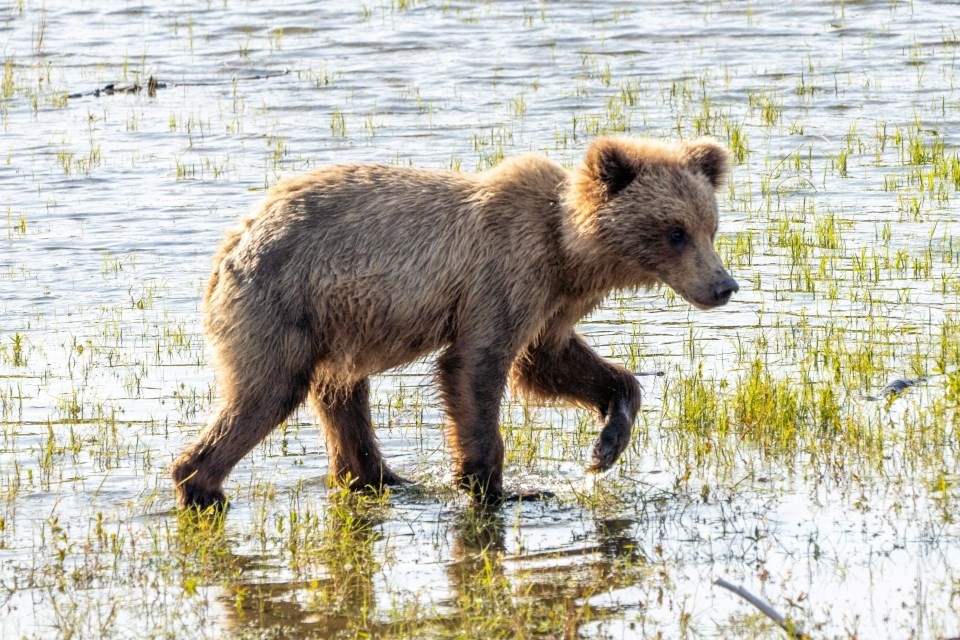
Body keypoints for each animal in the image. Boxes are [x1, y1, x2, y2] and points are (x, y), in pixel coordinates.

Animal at [171, 136, 738, 510]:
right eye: (675, 232)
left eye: (709, 227)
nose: (724, 285)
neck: (567, 253)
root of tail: (230, 244)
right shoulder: (502, 276)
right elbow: (477, 367)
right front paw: (498, 484)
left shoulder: (549, 304)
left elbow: (550, 363)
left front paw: (607, 444)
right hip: (281, 304)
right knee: (267, 393)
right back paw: (200, 484)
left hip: (336, 323)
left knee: (342, 399)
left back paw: (380, 478)